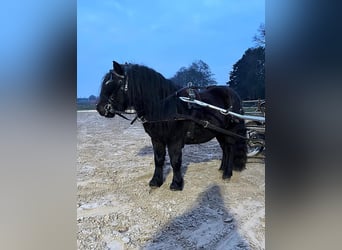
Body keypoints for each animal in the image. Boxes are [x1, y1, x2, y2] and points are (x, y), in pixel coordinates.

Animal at [96, 61, 246, 190]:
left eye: (115, 83)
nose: (101, 108)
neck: (165, 106)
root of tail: (233, 94)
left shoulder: (175, 140)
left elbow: (175, 161)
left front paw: (176, 184)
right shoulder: (156, 139)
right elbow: (158, 159)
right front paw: (155, 181)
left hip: (229, 131)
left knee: (230, 148)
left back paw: (227, 174)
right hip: (219, 132)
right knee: (225, 149)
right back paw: (222, 169)